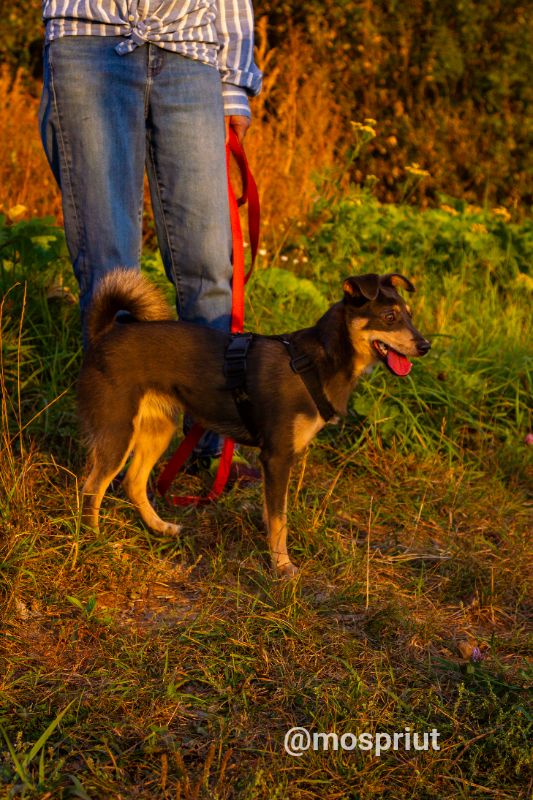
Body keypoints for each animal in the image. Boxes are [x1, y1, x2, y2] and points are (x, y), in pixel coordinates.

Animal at [78, 268, 428, 576]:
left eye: (411, 316)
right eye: (390, 317)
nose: (425, 346)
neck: (318, 362)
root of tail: (105, 334)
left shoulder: (275, 462)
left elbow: (272, 516)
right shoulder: (277, 457)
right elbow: (279, 519)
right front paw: (282, 567)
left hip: (158, 430)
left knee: (133, 482)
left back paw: (160, 527)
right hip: (118, 431)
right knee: (92, 488)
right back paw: (94, 541)